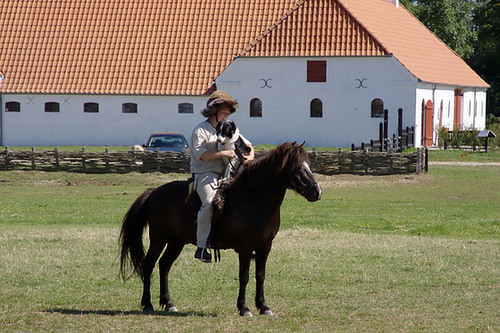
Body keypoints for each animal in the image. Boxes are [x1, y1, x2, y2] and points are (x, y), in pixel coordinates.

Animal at [119, 141, 322, 316]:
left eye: (308, 165)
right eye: (297, 167)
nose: (317, 192)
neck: (253, 198)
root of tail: (154, 192)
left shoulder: (265, 247)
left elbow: (260, 275)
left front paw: (263, 306)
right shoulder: (245, 248)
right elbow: (244, 276)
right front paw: (244, 308)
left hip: (177, 242)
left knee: (164, 265)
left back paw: (168, 303)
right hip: (159, 239)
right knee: (149, 264)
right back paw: (148, 304)